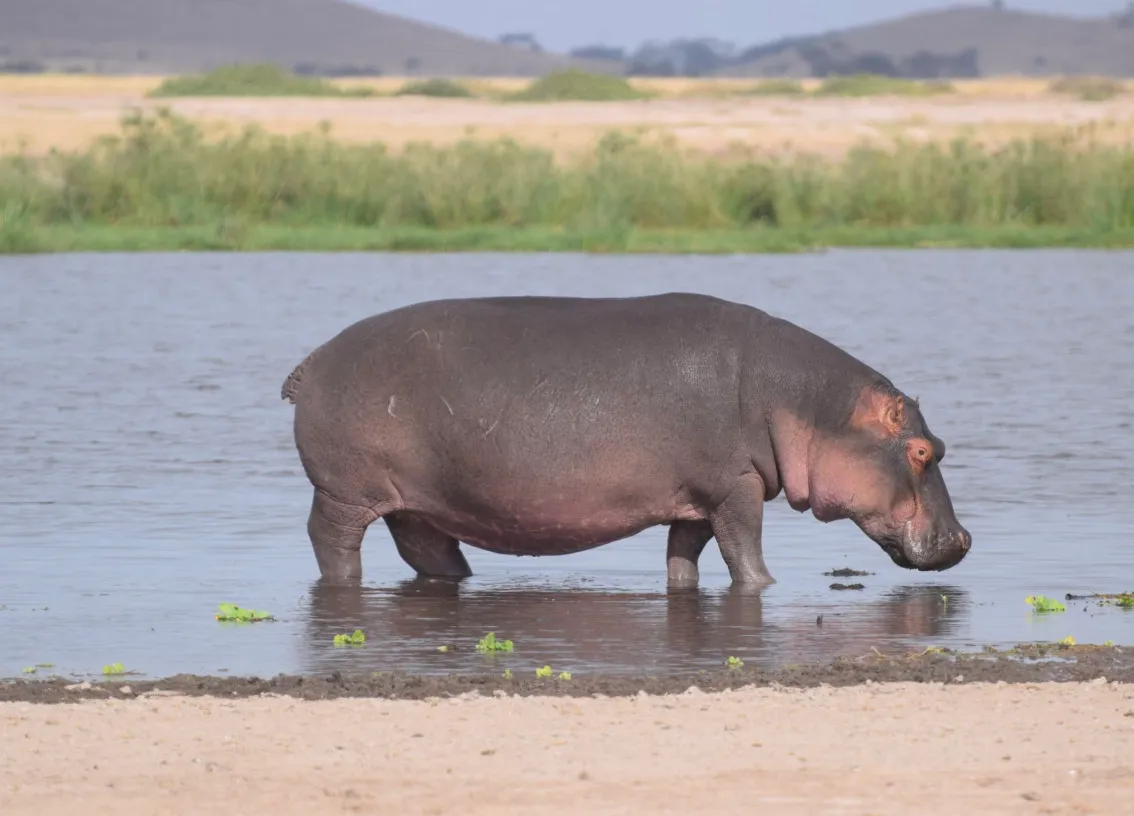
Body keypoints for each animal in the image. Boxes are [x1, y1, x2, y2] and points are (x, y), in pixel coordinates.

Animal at [281, 292, 971, 586]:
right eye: (921, 452)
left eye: (938, 447)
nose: (964, 540)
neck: (807, 404)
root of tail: (309, 362)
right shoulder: (737, 487)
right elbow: (745, 551)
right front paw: (766, 588)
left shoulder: (695, 499)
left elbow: (685, 557)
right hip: (344, 492)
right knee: (331, 540)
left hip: (418, 503)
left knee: (427, 550)